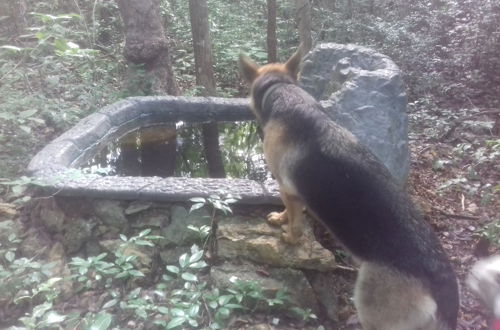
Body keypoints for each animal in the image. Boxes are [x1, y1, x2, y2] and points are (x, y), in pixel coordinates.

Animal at [240, 49, 458, 330]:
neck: (281, 89)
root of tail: (442, 293)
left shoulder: (287, 189)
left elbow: (293, 219)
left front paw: (286, 230)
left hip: (370, 306)